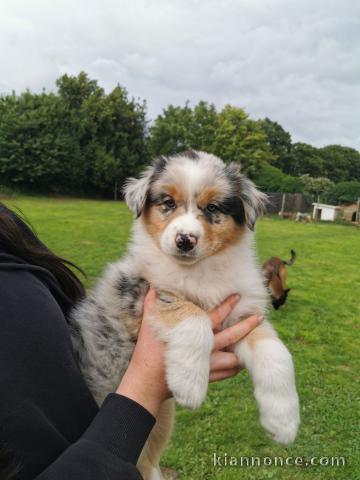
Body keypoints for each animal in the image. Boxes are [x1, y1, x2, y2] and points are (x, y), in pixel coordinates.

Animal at [69, 151, 300, 480]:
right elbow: (194, 317)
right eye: (167, 203)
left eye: (213, 208)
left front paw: (283, 421)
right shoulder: (145, 294)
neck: (199, 269)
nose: (185, 240)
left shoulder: (243, 313)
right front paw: (189, 382)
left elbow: (276, 353)